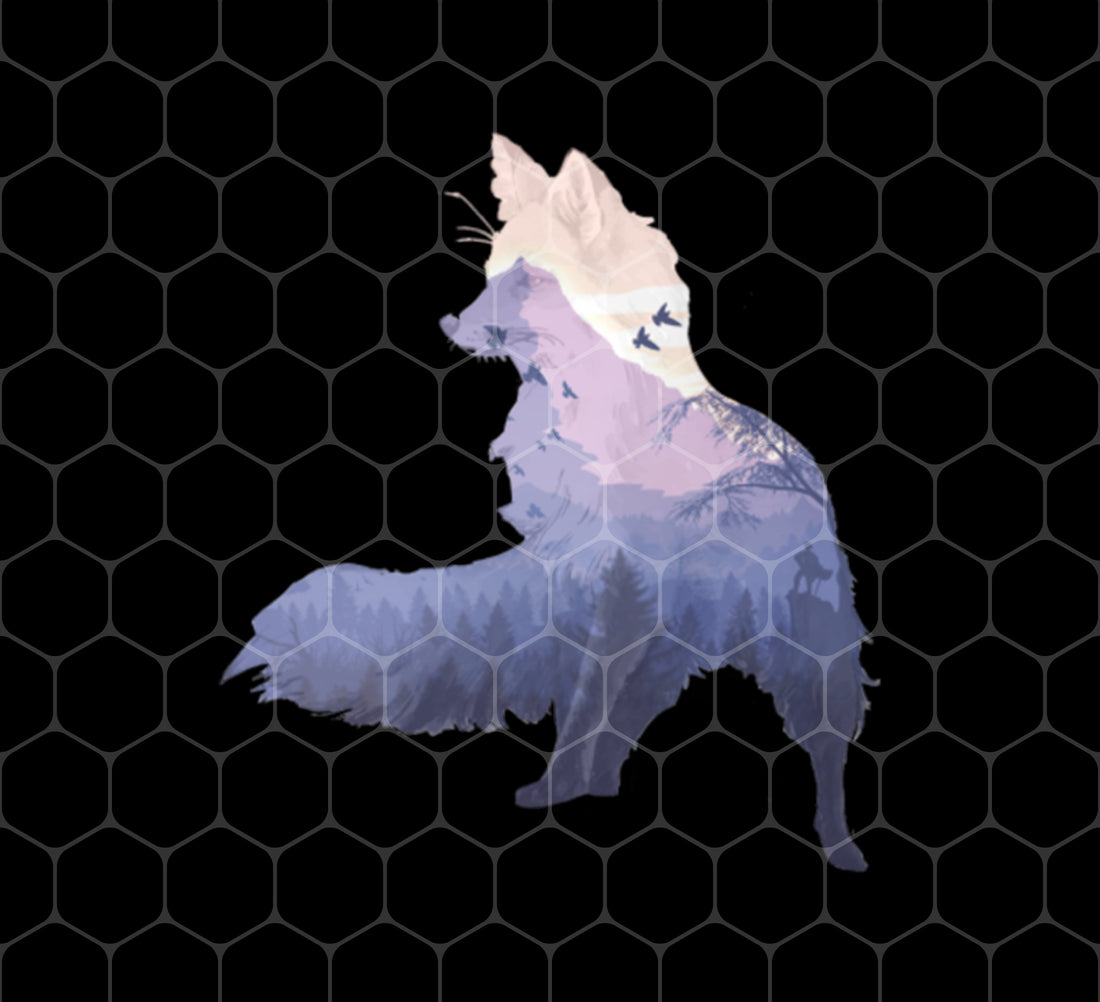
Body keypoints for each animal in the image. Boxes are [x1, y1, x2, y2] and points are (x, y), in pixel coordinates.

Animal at [224, 135, 877, 871]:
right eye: (489, 272)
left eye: (526, 280)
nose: (450, 321)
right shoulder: (588, 590)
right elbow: (585, 707)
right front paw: (560, 790)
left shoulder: (612, 595)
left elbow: (584, 704)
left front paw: (553, 789)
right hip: (668, 649)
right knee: (623, 725)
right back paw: (598, 793)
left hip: (804, 646)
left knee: (822, 745)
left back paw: (842, 849)